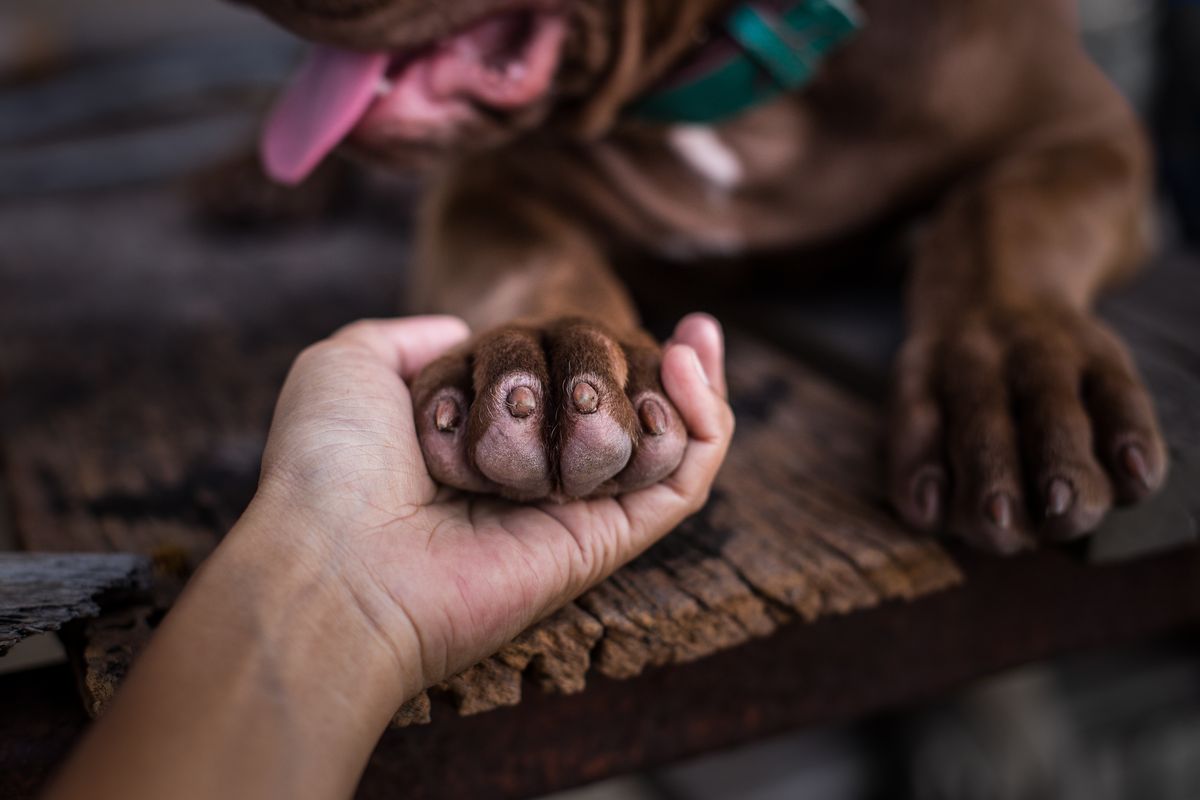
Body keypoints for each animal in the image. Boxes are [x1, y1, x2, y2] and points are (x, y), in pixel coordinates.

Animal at [238, 0, 1166, 554]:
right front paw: (548, 357)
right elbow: (534, 253)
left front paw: (1011, 387)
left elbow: (1000, 216)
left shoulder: (1088, 127)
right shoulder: (489, 181)